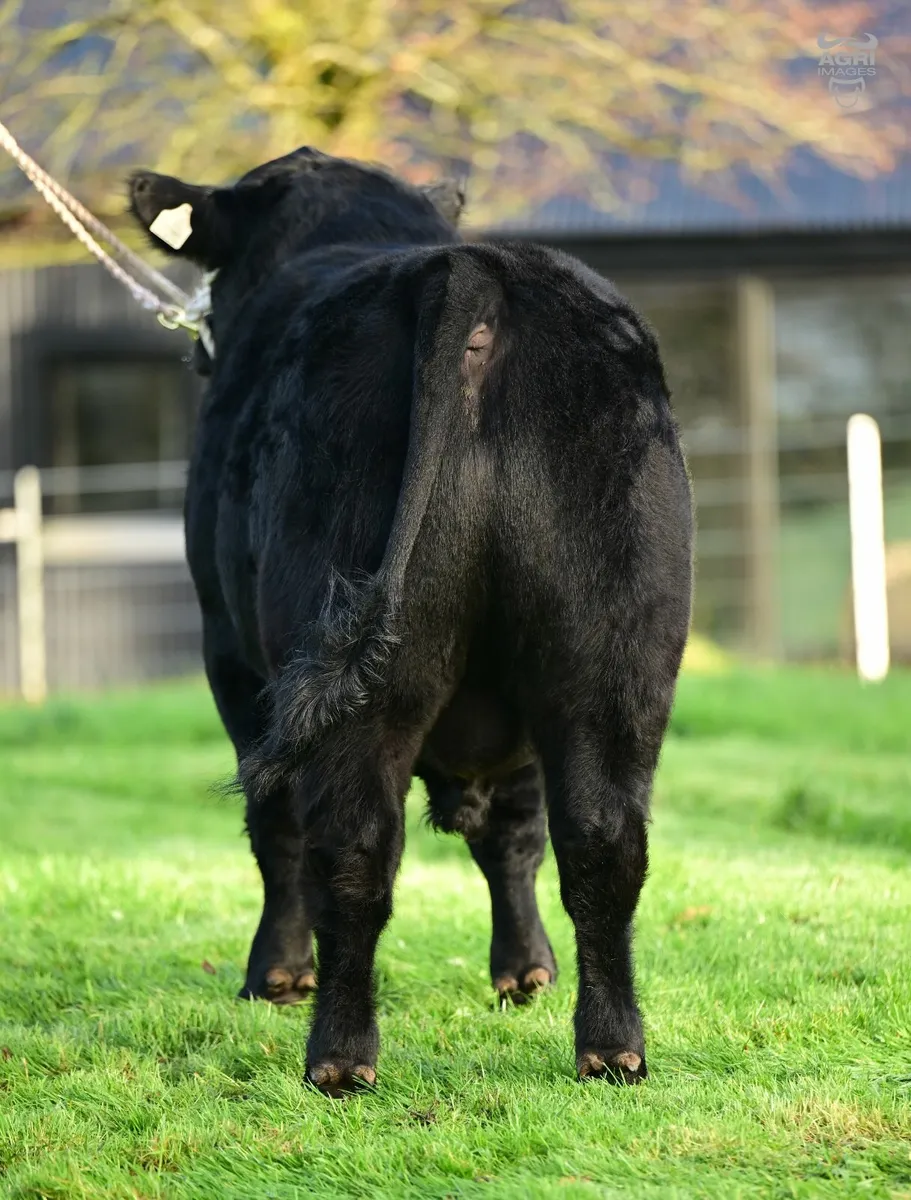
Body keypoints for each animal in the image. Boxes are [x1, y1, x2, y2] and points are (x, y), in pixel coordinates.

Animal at [128, 147, 693, 1098]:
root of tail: (467, 270)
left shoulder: (230, 660)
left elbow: (274, 826)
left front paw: (274, 974)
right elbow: (516, 832)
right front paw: (523, 970)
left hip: (345, 672)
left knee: (348, 847)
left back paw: (338, 1057)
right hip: (611, 645)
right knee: (601, 837)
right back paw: (611, 1047)